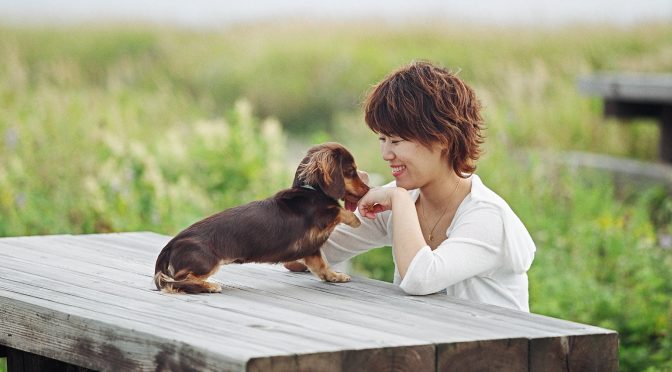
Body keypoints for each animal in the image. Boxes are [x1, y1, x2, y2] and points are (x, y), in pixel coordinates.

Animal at [154, 142, 370, 294]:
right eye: (351, 171)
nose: (368, 189)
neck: (311, 191)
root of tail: (171, 244)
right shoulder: (319, 218)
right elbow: (338, 210)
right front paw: (355, 220)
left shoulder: (312, 251)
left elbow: (322, 267)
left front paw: (335, 276)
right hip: (206, 262)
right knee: (176, 281)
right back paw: (209, 286)